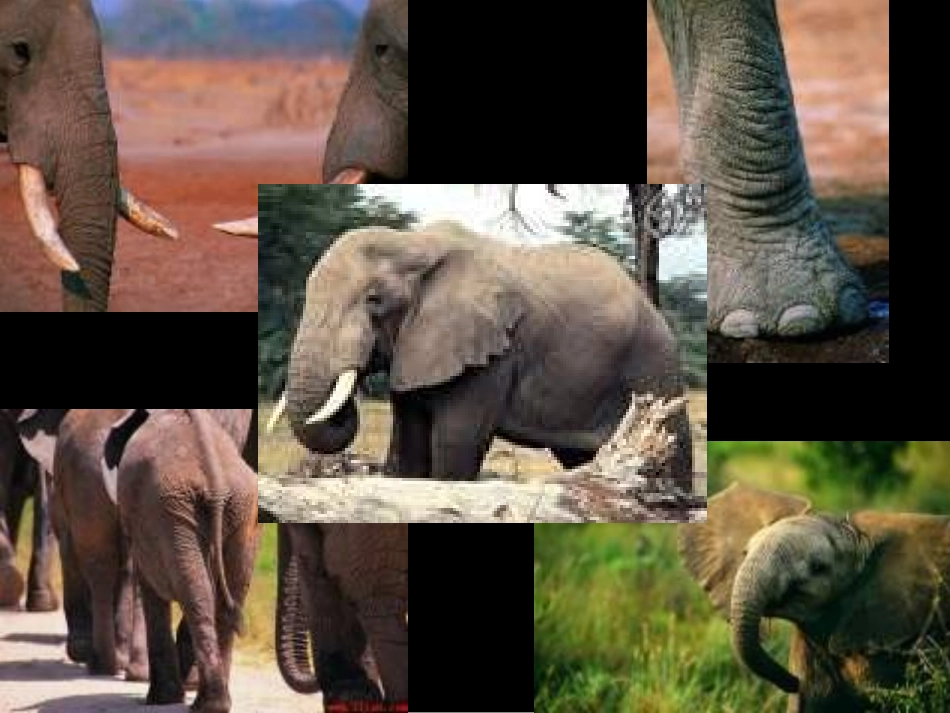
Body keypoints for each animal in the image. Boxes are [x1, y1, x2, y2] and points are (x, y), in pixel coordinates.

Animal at [104, 409, 260, 713]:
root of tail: (215, 479)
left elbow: (149, 588)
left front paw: (160, 700)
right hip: (237, 508)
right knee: (221, 594)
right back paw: (216, 703)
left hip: (171, 510)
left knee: (197, 593)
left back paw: (203, 704)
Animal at [277, 221, 692, 483]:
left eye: (374, 301)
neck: (415, 243)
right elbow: (409, 443)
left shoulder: (493, 353)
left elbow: (456, 440)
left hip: (654, 367)